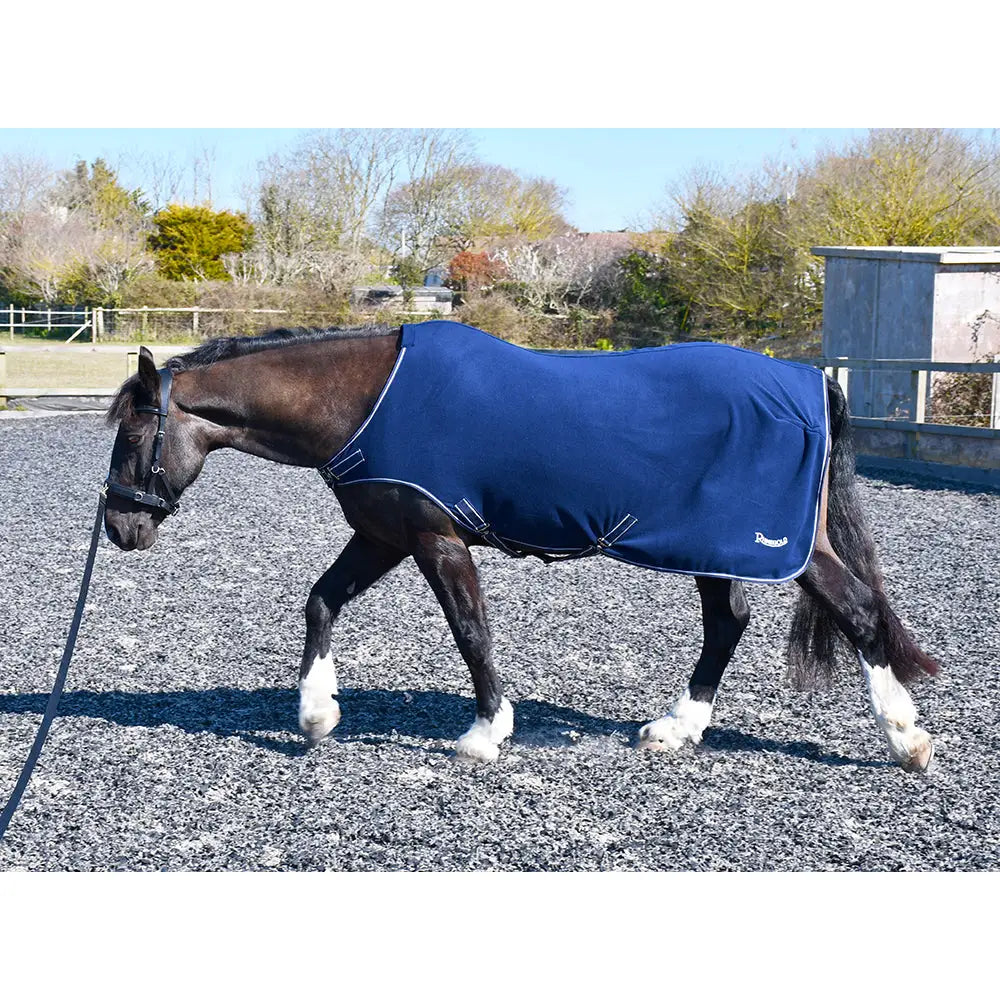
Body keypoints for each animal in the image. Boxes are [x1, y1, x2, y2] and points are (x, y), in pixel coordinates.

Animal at [103, 323, 939, 771]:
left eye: (133, 437)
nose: (119, 527)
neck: (365, 399)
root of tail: (807, 381)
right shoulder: (383, 533)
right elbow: (319, 601)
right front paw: (315, 714)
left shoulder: (435, 538)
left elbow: (470, 631)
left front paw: (485, 733)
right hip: (715, 549)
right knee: (728, 625)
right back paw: (677, 728)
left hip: (767, 547)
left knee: (858, 614)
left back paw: (905, 738)